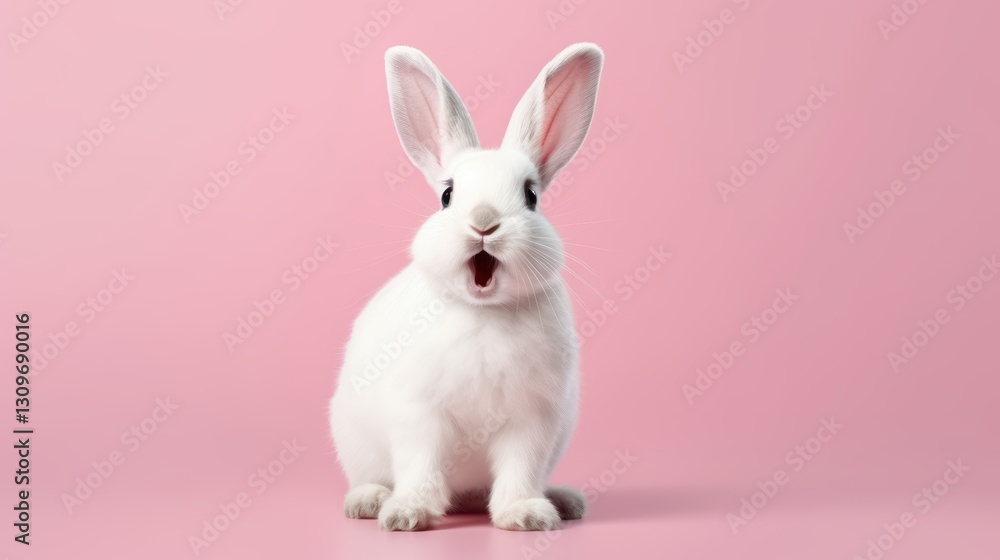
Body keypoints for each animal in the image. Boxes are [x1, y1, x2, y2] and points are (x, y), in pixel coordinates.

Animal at [329, 42, 604, 532]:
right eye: (447, 195)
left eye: (531, 196)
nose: (484, 221)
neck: (483, 311)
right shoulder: (420, 416)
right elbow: (420, 466)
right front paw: (407, 514)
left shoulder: (531, 422)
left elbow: (519, 470)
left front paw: (525, 514)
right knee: (369, 476)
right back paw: (369, 501)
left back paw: (564, 501)